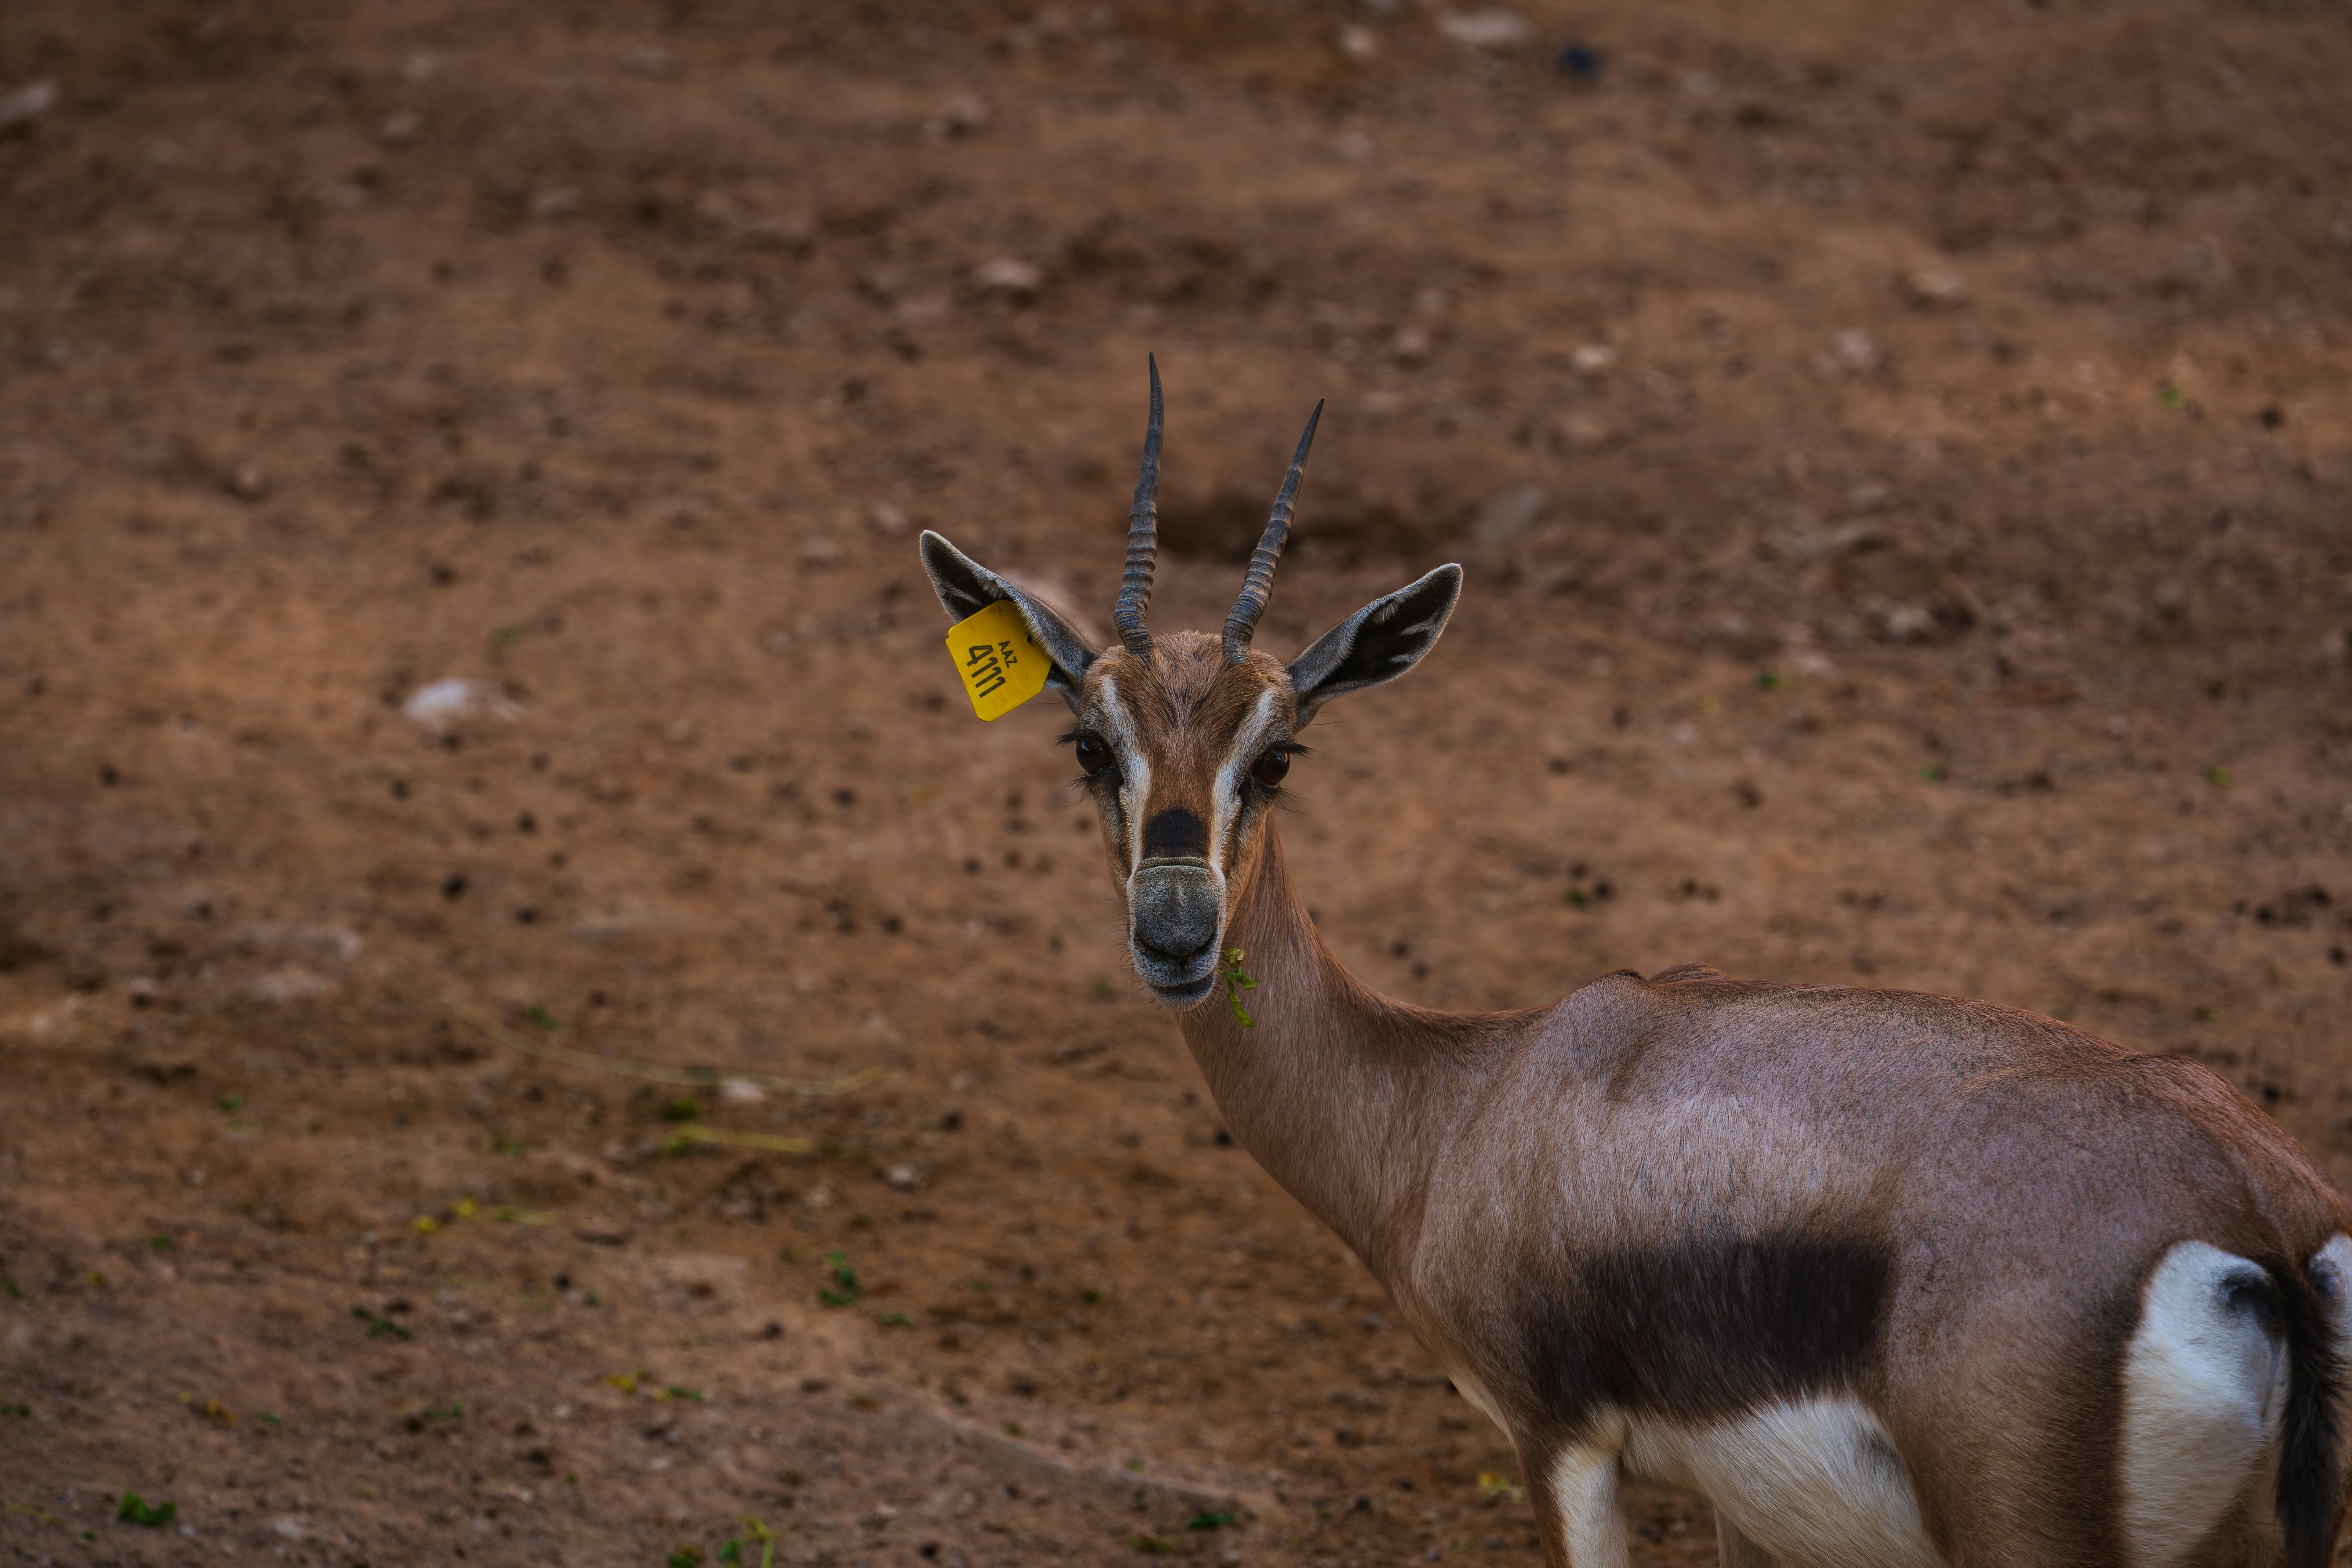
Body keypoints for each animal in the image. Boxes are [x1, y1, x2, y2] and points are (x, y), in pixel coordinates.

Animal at [916, 361, 2352, 1567]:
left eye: (1277, 757)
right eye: (1090, 746)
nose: (1176, 931)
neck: (1463, 1102)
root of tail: (2257, 1210)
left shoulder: (1561, 1444)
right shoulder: (1750, 1513)